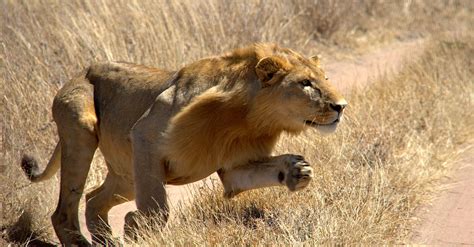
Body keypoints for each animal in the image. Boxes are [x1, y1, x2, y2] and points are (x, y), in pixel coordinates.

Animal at [20, 43, 346, 246]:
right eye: (305, 83)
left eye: (325, 78)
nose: (341, 106)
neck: (248, 117)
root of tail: (81, 71)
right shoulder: (144, 138)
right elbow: (158, 208)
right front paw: (135, 227)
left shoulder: (232, 167)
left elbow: (260, 172)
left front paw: (298, 170)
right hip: (83, 131)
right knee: (64, 211)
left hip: (127, 176)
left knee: (92, 198)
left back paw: (106, 241)